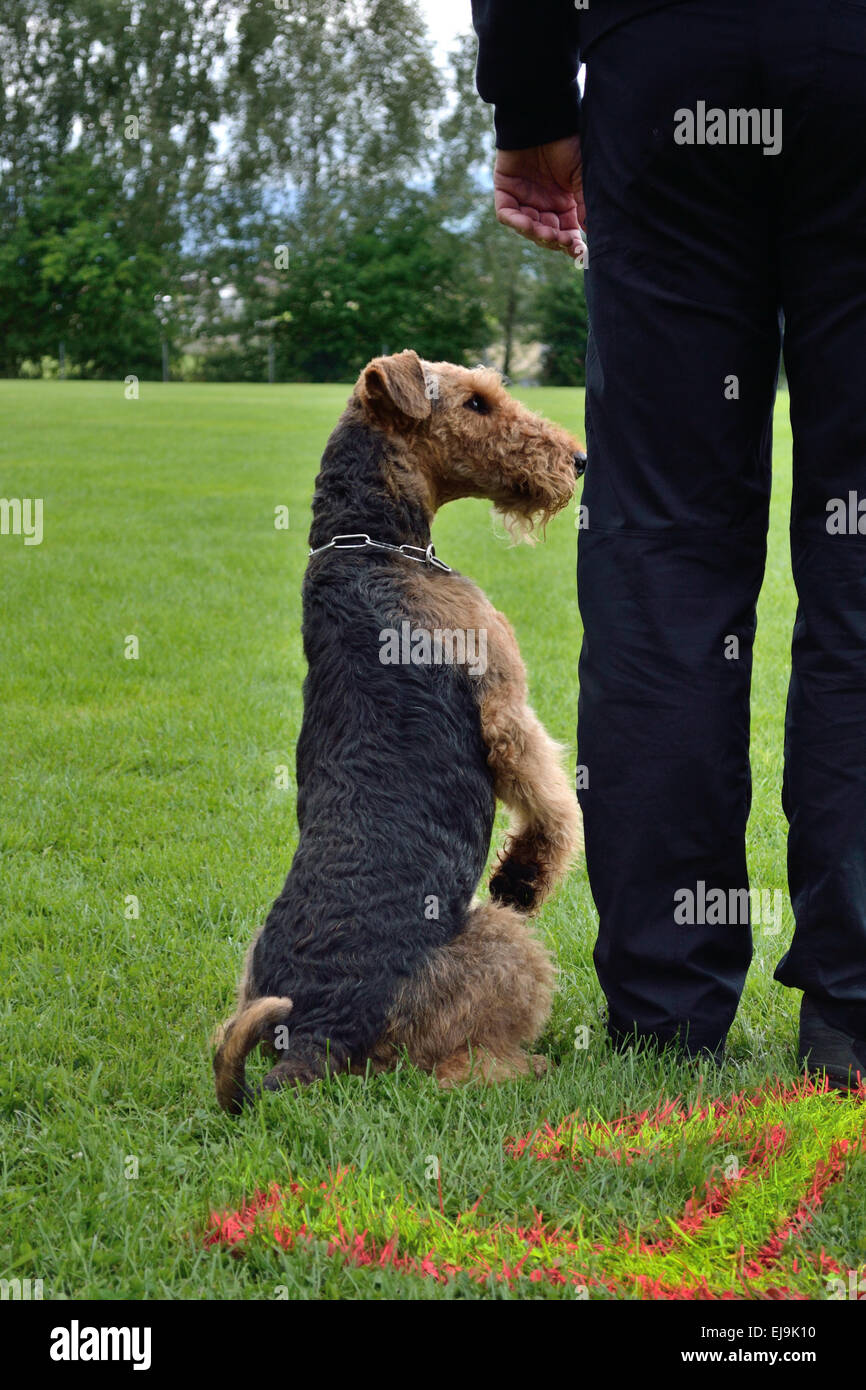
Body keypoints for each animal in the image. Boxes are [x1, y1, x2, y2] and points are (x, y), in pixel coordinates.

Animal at [214, 353, 586, 1112]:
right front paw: (525, 875)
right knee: (452, 1070)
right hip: (502, 945)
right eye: (477, 403)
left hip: (251, 972)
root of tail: (314, 1037)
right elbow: (553, 801)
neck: (369, 546)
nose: (578, 459)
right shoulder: (506, 702)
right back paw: (531, 1067)